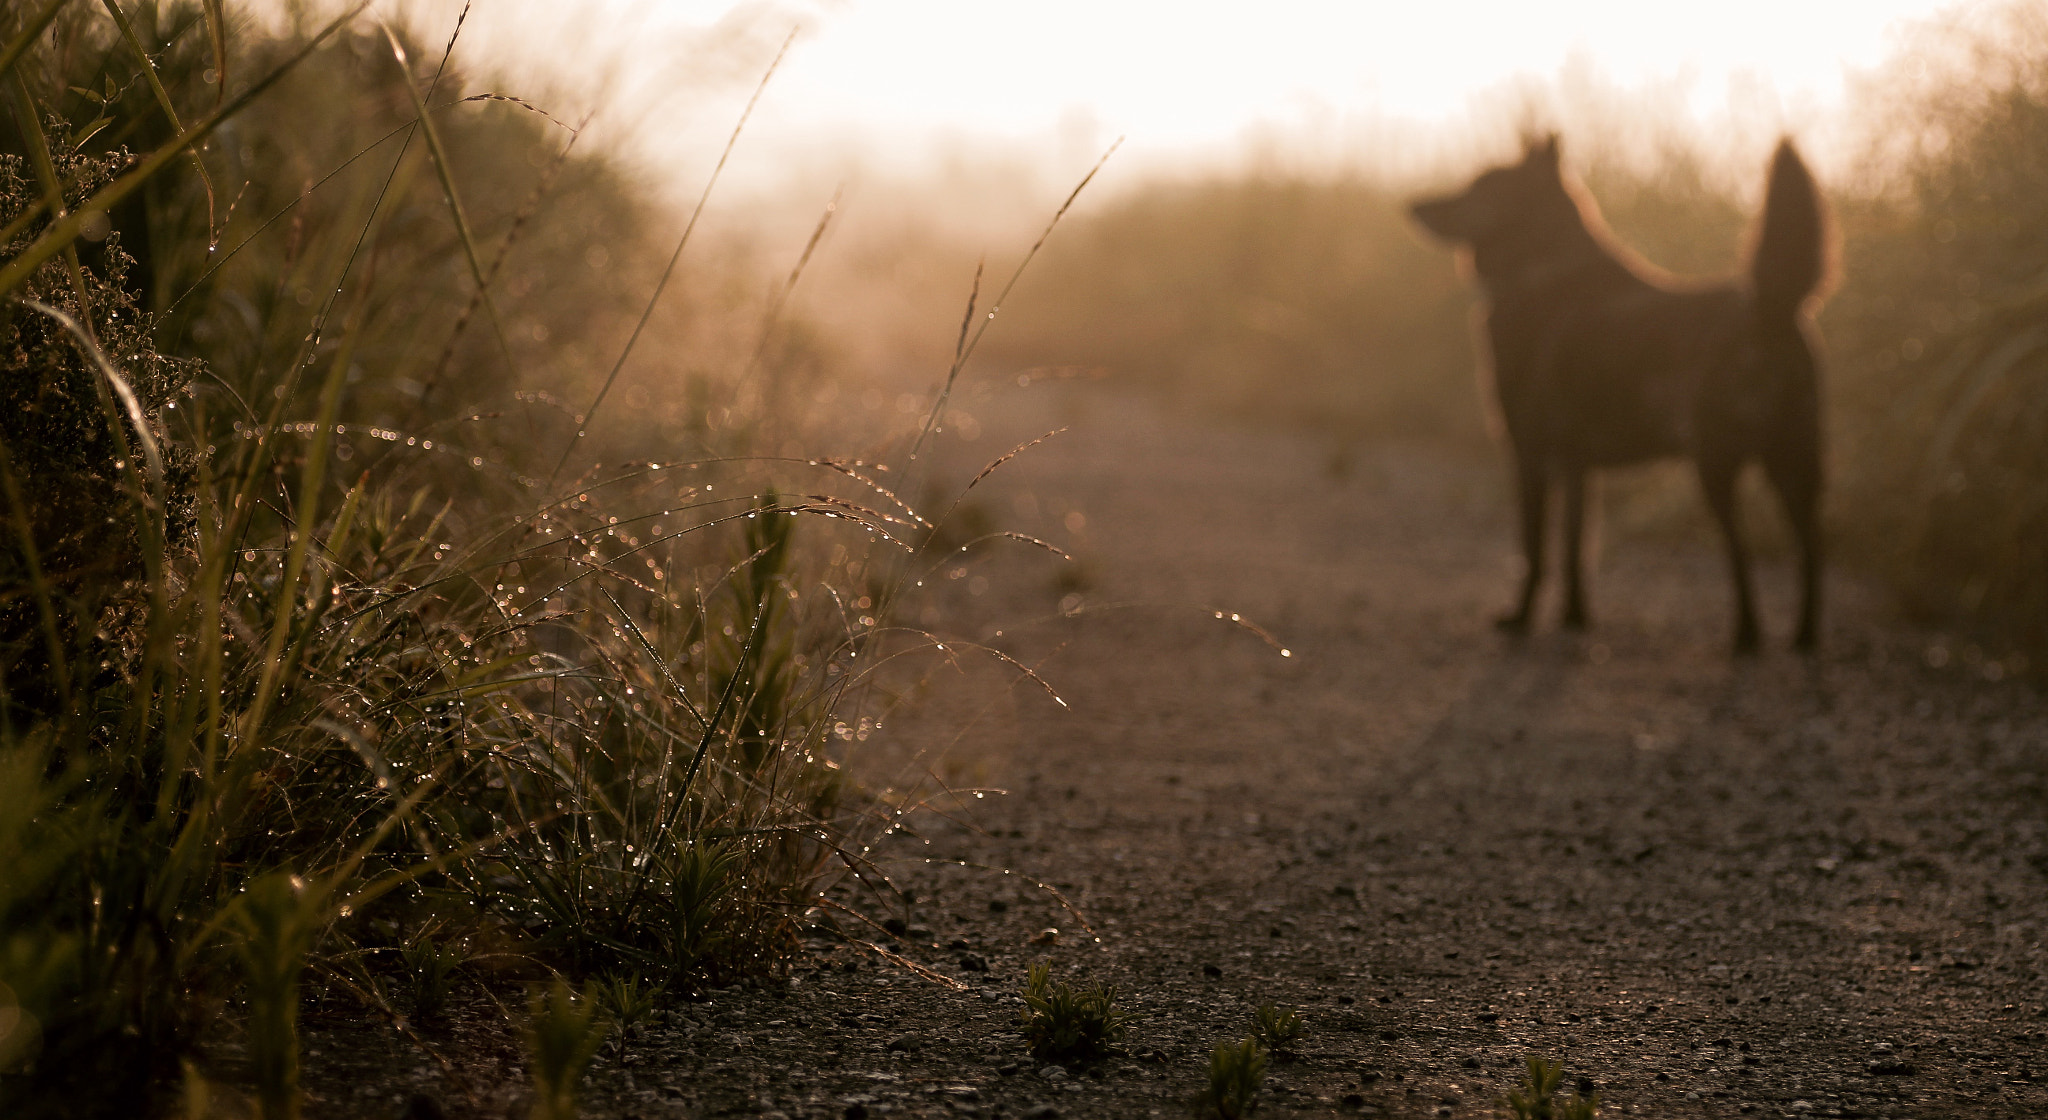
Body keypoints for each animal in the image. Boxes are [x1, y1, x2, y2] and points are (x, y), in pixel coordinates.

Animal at [1417, 135, 1835, 651]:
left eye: (1479, 187)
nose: (1414, 206)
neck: (1544, 272)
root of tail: (1771, 308)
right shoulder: (1576, 466)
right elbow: (1574, 547)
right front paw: (1575, 616)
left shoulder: (1530, 455)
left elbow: (1535, 548)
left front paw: (1521, 618)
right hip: (1793, 463)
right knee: (1811, 546)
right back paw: (1804, 636)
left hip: (1717, 465)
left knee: (1742, 552)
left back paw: (1746, 638)